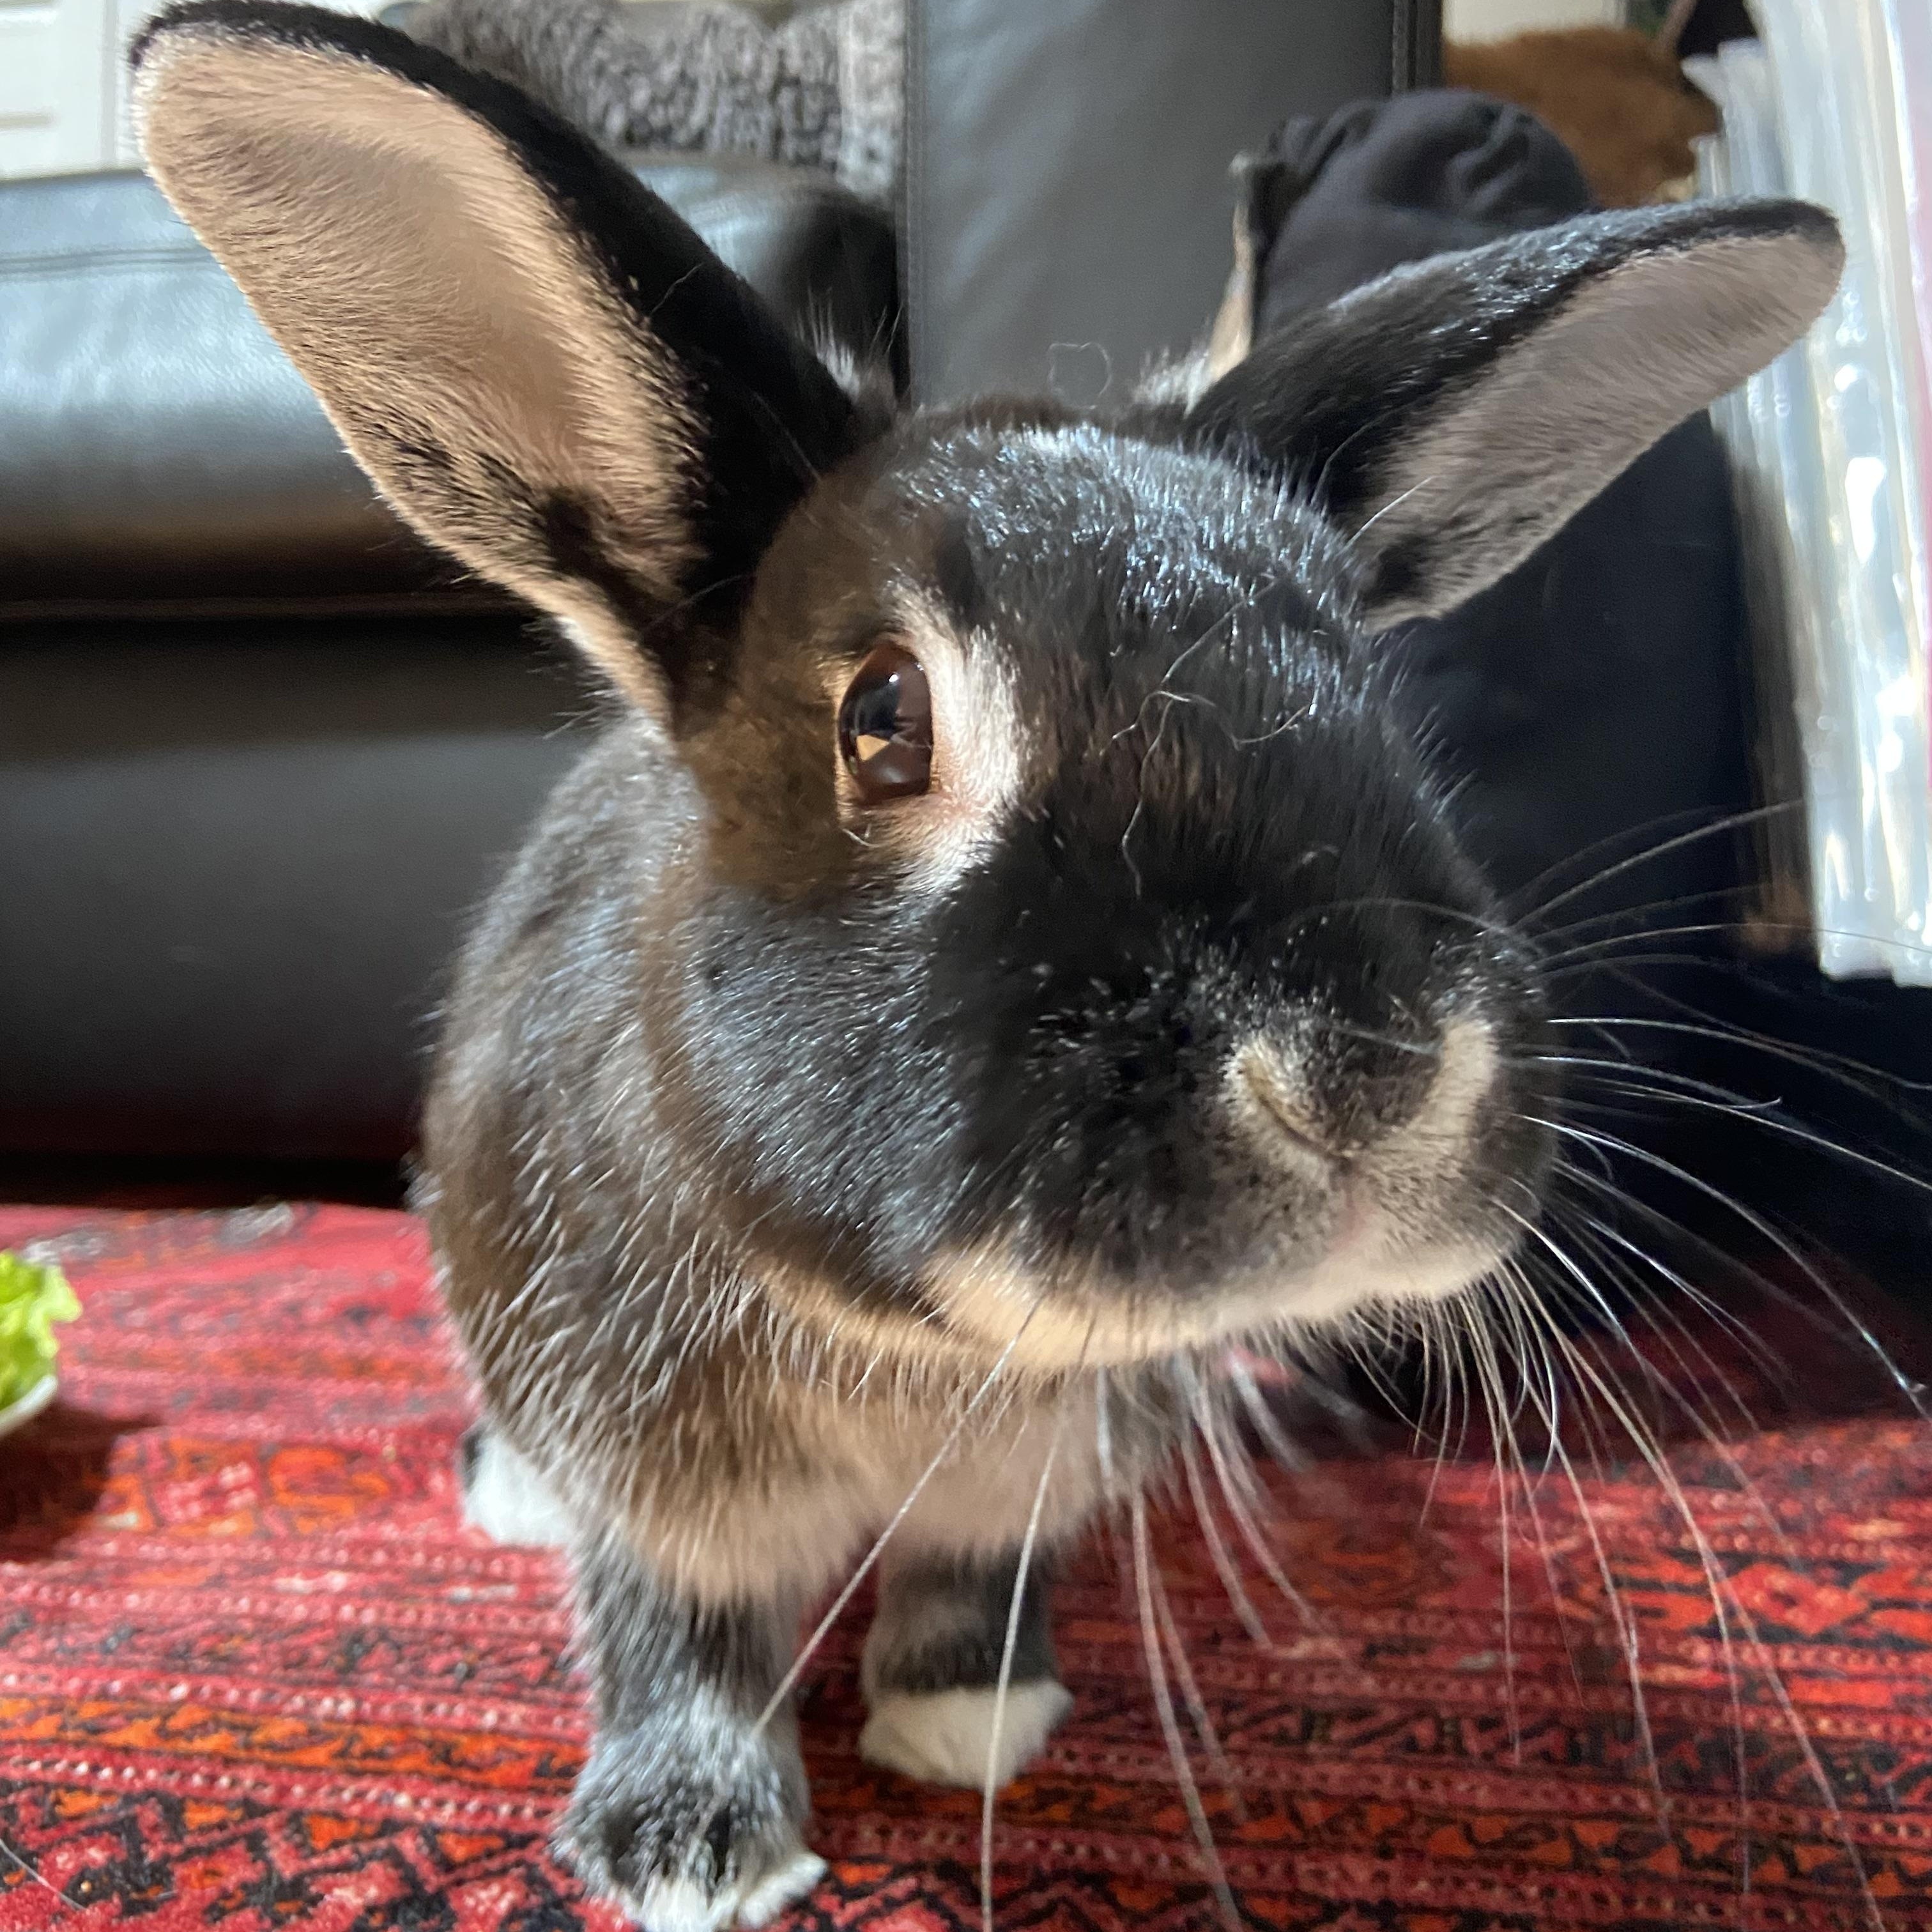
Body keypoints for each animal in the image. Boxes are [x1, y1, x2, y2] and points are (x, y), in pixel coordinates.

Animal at [130, 6, 1842, 1927]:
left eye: (1375, 694)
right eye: (886, 720)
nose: (1377, 1073)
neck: (918, 1344)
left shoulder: (1032, 1480)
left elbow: (975, 1584)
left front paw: (973, 1729)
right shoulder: (657, 1480)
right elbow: (678, 1634)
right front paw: (694, 1853)